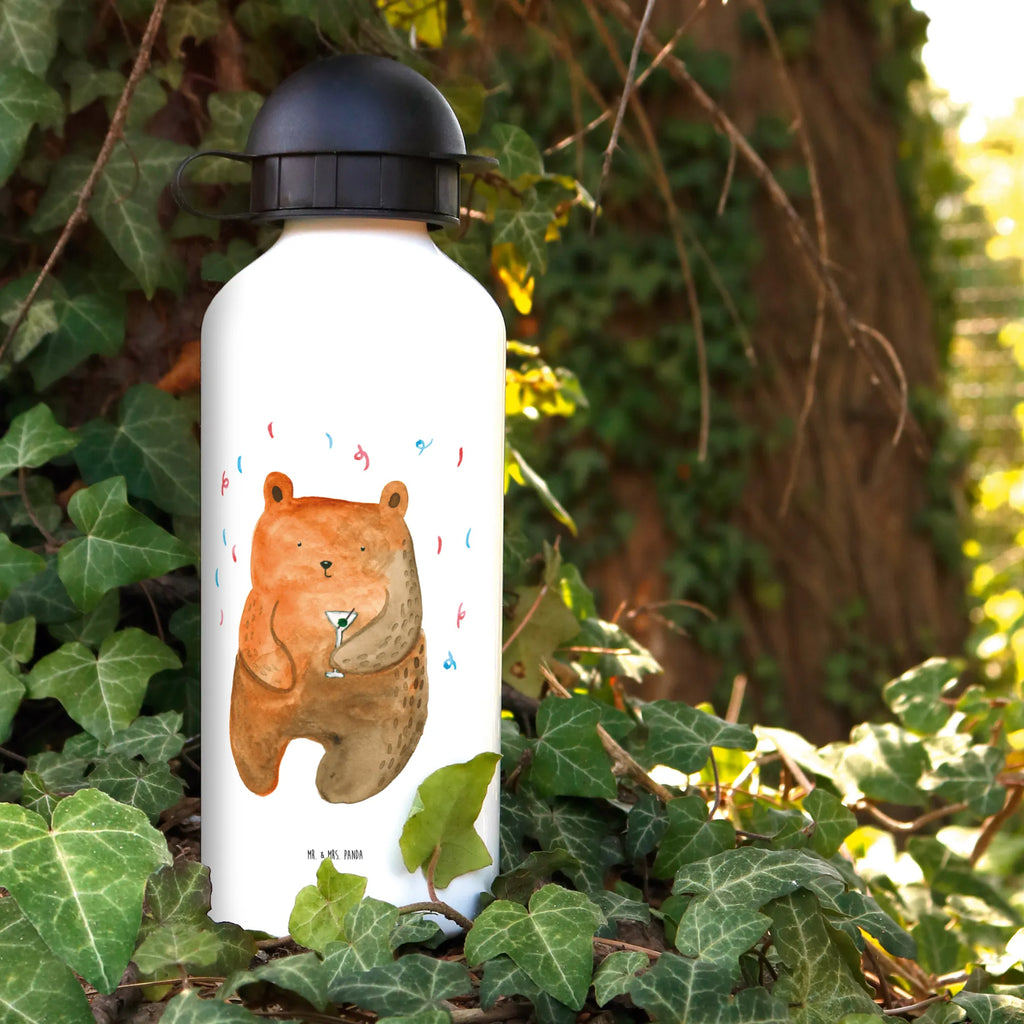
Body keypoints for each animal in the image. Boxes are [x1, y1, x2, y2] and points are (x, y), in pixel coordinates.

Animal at [230, 471, 427, 804]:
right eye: (298, 542)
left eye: (363, 548)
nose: (325, 563)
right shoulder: (263, 597)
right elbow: (256, 626)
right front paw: (281, 673)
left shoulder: (402, 594)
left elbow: (395, 625)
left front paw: (342, 659)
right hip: (250, 709)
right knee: (252, 746)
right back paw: (261, 782)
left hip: (388, 719)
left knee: (370, 762)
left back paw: (334, 785)